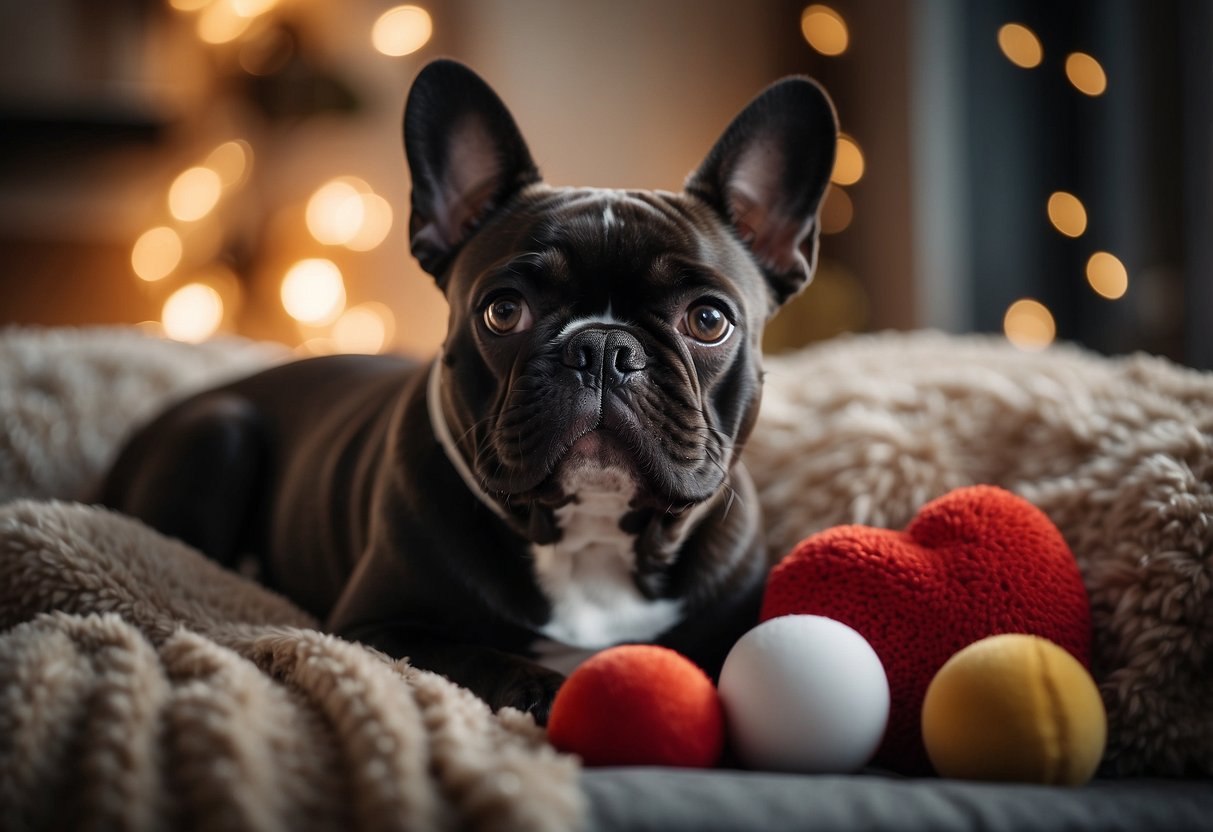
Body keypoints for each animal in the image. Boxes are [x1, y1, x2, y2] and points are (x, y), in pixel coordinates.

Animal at [99, 60, 839, 722]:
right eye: (503, 311)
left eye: (708, 320)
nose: (603, 348)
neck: (588, 538)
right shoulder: (374, 629)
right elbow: (479, 656)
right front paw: (550, 690)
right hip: (218, 434)